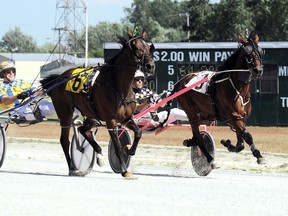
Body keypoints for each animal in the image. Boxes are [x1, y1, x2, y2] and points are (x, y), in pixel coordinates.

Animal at [40, 30, 155, 179]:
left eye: (148, 46)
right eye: (135, 47)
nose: (150, 65)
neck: (117, 86)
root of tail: (58, 78)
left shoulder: (126, 118)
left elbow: (138, 132)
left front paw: (129, 150)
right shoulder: (111, 121)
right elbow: (118, 147)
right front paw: (125, 170)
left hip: (90, 114)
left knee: (83, 130)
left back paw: (98, 154)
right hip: (64, 112)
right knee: (65, 140)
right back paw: (72, 168)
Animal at [173, 33, 266, 168]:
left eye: (260, 51)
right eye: (247, 52)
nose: (258, 70)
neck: (238, 88)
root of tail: (181, 81)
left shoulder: (239, 118)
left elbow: (240, 144)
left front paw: (228, 144)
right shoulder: (233, 116)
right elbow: (247, 136)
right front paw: (259, 155)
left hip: (205, 116)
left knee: (196, 135)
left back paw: (190, 142)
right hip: (191, 112)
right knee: (198, 137)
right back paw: (210, 159)